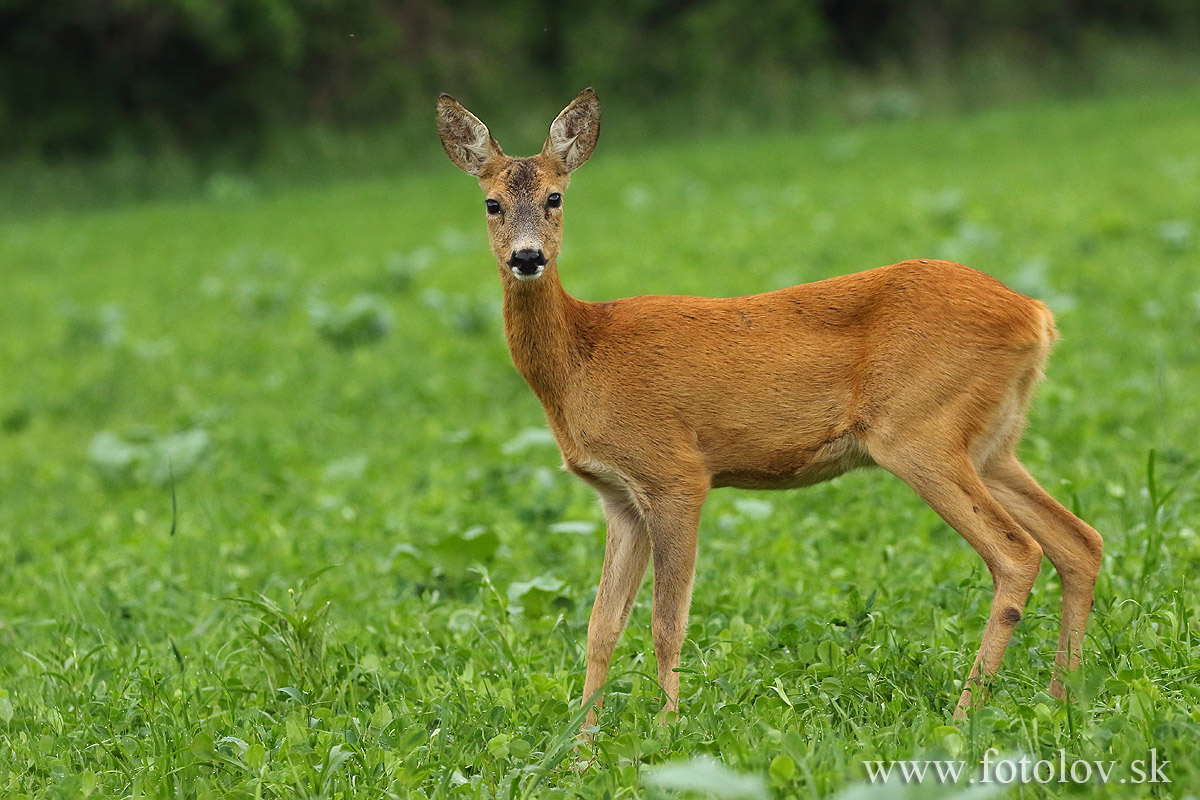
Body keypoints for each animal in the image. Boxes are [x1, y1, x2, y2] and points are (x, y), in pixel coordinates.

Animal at [436, 87, 1099, 724]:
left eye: (555, 197)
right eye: (491, 203)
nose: (527, 258)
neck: (583, 358)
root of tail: (1037, 314)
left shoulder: (675, 473)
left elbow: (666, 624)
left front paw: (667, 733)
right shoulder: (617, 497)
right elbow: (601, 629)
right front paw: (580, 744)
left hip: (920, 431)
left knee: (1018, 552)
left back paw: (966, 716)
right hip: (990, 442)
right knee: (1079, 541)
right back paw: (1061, 700)